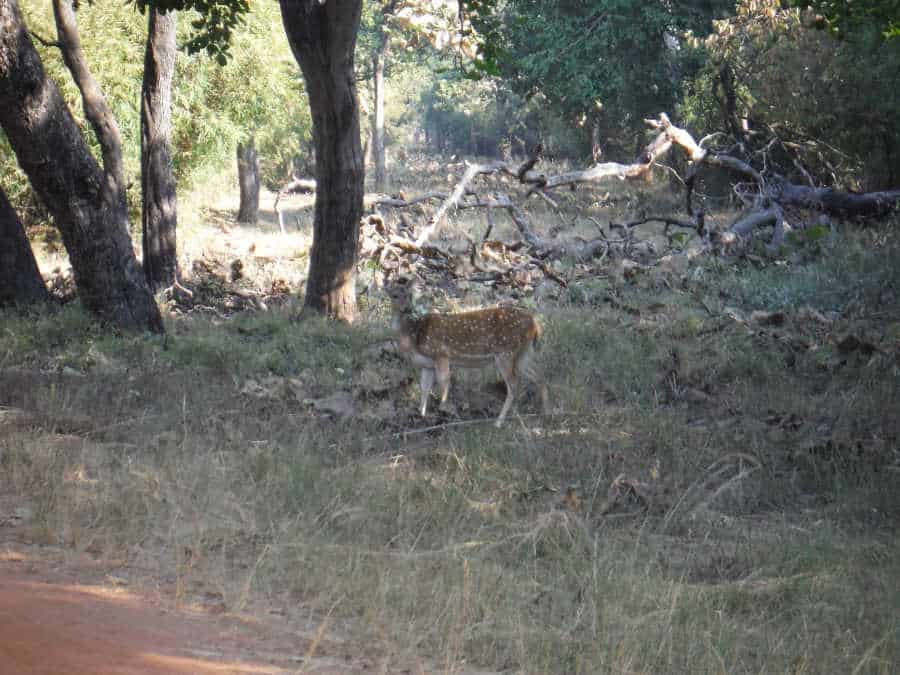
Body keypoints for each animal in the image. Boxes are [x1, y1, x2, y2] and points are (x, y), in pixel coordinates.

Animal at [386, 278, 548, 428]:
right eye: (394, 295)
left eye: (409, 295)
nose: (407, 308)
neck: (414, 336)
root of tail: (535, 325)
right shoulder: (427, 365)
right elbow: (424, 389)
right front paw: (421, 416)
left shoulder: (441, 354)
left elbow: (444, 384)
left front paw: (443, 415)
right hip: (523, 353)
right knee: (538, 375)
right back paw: (544, 413)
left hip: (505, 352)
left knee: (514, 384)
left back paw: (499, 422)